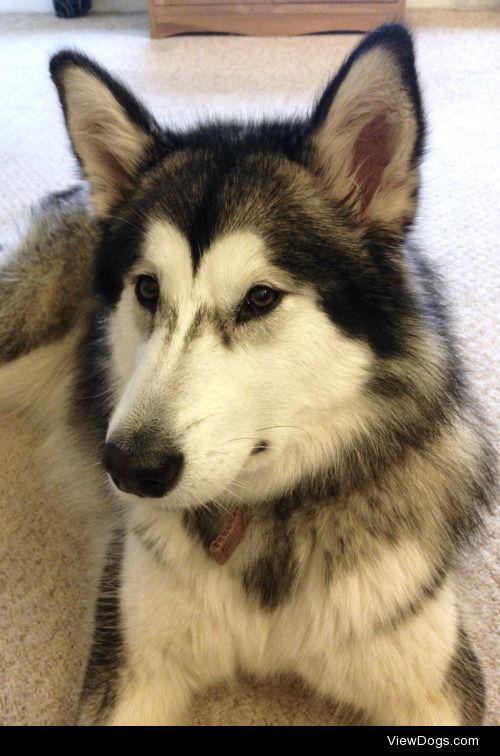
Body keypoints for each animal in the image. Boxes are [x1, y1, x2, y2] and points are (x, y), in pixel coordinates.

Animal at [0, 23, 494, 724]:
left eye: (260, 298)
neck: (264, 520)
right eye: (147, 289)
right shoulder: (127, 669)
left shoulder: (434, 684)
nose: (130, 468)